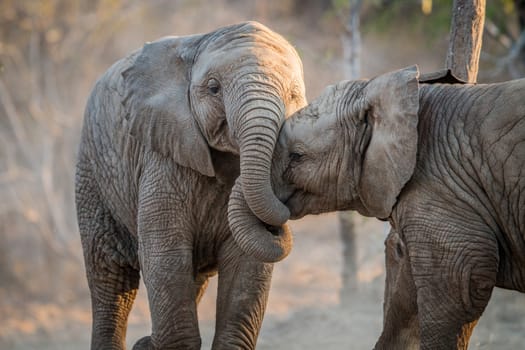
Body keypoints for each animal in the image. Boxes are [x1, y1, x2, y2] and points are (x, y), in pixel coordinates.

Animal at [73, 22, 302, 350]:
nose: (280, 221)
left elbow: (248, 265)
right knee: (110, 277)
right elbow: (164, 254)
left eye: (294, 94)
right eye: (214, 88)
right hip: (92, 170)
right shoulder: (162, 158)